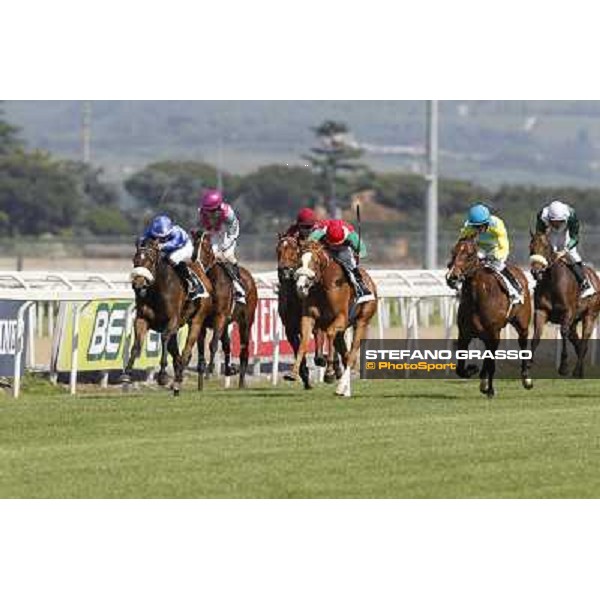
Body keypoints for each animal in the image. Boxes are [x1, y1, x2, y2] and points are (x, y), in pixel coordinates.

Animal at [121, 237, 213, 396]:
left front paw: (163, 376)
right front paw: (127, 373)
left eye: (151, 260)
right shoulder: (142, 319)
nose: (138, 284)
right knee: (177, 355)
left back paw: (176, 381)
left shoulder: (173, 320)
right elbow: (137, 344)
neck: (157, 290)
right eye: (135, 260)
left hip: (196, 321)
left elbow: (164, 338)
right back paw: (177, 381)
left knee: (186, 352)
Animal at [193, 232, 256, 386]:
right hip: (227, 323)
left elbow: (212, 345)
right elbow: (201, 349)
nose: (196, 265)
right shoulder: (202, 322)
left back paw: (241, 382)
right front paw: (201, 373)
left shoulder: (220, 318)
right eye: (194, 245)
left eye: (207, 248)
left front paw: (209, 371)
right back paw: (229, 369)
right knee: (227, 346)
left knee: (244, 350)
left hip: (245, 322)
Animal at [284, 239, 376, 394]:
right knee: (345, 353)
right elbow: (303, 341)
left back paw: (341, 387)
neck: (323, 286)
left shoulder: (341, 318)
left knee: (351, 353)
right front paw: (293, 373)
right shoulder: (309, 317)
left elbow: (330, 334)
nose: (301, 287)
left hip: (362, 322)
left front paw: (329, 373)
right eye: (299, 261)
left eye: (315, 261)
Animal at [446, 237, 536, 396]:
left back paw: (526, 379)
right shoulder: (464, 333)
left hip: (522, 324)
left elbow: (492, 363)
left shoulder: (494, 332)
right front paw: (472, 370)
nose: (452, 277)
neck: (477, 297)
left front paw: (491, 389)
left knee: (523, 344)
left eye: (469, 255)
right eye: (453, 252)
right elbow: (460, 368)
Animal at [528, 230, 600, 376]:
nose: (536, 272)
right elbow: (536, 336)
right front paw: (527, 367)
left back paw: (576, 370)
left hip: (590, 315)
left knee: (584, 341)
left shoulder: (567, 312)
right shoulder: (541, 311)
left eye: (545, 247)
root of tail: (595, 276)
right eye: (530, 247)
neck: (551, 282)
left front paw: (564, 366)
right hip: (575, 320)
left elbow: (563, 333)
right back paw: (580, 371)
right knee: (578, 343)